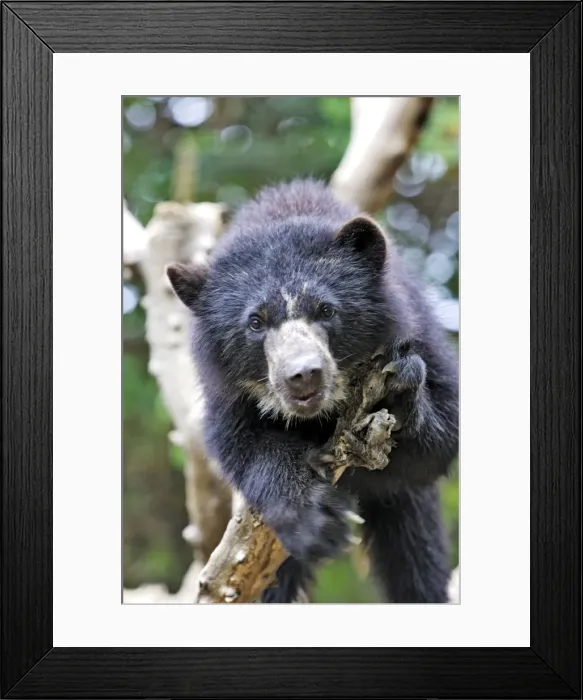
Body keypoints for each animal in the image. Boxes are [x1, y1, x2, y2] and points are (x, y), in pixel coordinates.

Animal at [167, 179, 459, 603]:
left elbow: (441, 437)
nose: (304, 375)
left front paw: (401, 387)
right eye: (255, 322)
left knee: (415, 553)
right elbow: (242, 445)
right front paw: (317, 518)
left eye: (326, 310)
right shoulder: (225, 392)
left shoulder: (418, 329)